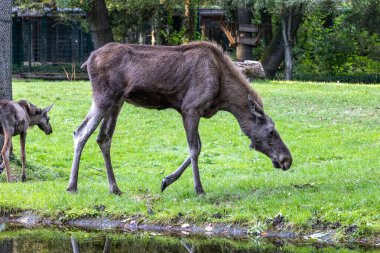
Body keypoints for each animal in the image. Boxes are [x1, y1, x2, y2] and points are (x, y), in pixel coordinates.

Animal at [67, 42, 294, 196]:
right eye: (271, 132)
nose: (287, 160)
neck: (223, 96)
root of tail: (87, 61)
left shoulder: (191, 111)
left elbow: (198, 147)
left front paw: (167, 180)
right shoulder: (190, 108)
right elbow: (195, 149)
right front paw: (199, 188)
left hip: (117, 102)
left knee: (103, 138)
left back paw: (114, 188)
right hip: (103, 97)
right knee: (80, 132)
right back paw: (72, 186)